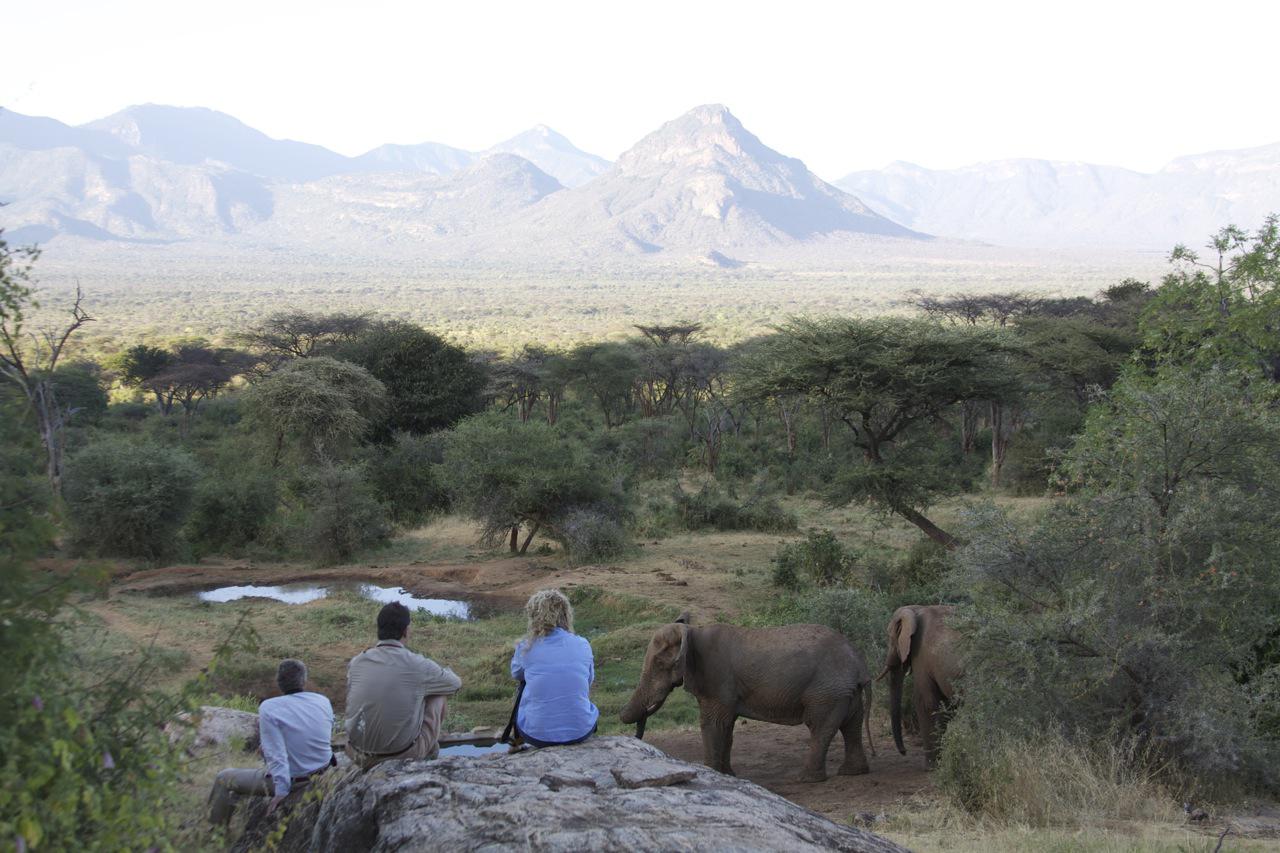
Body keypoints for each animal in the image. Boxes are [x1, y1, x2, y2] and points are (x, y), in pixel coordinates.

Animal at [619, 613, 873, 783]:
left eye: (659, 664)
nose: (637, 736)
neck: (692, 631)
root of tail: (860, 663)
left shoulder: (716, 678)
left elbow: (713, 723)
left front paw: (713, 774)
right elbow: (726, 726)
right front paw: (728, 775)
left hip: (826, 691)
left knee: (819, 726)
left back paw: (806, 779)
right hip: (845, 692)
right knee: (851, 724)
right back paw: (852, 772)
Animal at [879, 604, 962, 768]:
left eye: (890, 638)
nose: (904, 752)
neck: (916, 609)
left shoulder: (921, 655)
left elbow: (925, 703)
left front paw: (931, 766)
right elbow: (946, 706)